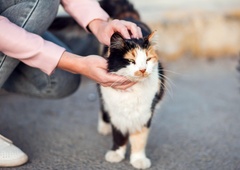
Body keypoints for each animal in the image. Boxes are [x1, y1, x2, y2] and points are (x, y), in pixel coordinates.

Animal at [97, 0, 165, 169]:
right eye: (131, 61)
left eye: (148, 59)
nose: (142, 69)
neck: (133, 90)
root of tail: (128, 16)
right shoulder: (117, 114)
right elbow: (119, 135)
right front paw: (116, 154)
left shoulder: (144, 114)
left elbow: (139, 139)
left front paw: (138, 160)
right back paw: (104, 127)